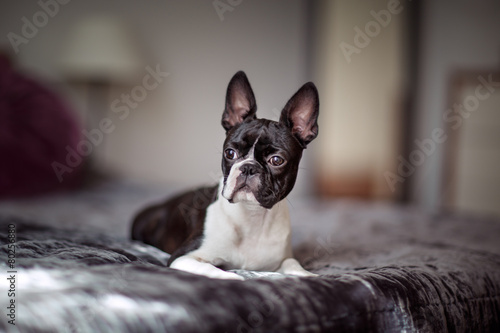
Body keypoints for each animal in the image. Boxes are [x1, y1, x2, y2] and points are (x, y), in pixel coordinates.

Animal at [131, 71, 318, 278]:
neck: (251, 216)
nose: (248, 167)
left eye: (277, 160)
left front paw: (308, 275)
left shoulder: (281, 260)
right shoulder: (183, 257)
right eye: (230, 153)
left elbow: (292, 263)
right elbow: (215, 270)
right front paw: (235, 277)